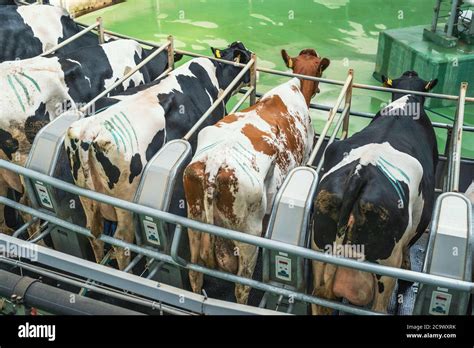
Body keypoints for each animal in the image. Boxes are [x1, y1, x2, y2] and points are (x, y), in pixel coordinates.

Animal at [65, 40, 254, 270]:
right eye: (246, 55)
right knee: (121, 241)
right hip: (124, 204)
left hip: (85, 196)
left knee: (93, 235)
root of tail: (90, 131)